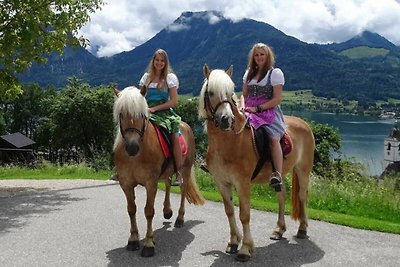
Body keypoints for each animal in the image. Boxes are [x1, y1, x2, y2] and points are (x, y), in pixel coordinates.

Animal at [114, 86, 205, 258]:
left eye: (142, 115)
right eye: (121, 114)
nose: (132, 147)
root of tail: (186, 125)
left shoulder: (151, 183)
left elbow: (149, 211)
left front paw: (149, 244)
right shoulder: (126, 183)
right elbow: (131, 210)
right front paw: (133, 240)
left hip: (186, 168)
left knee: (182, 190)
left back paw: (179, 218)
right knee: (168, 183)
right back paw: (167, 211)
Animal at [198, 65, 314, 262]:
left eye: (230, 92)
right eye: (211, 92)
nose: (227, 119)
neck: (229, 141)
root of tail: (304, 124)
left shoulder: (242, 183)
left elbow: (244, 215)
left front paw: (245, 249)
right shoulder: (221, 182)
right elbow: (229, 211)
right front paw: (233, 242)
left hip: (303, 171)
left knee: (302, 197)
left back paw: (302, 229)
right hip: (279, 174)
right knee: (282, 196)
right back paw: (278, 230)